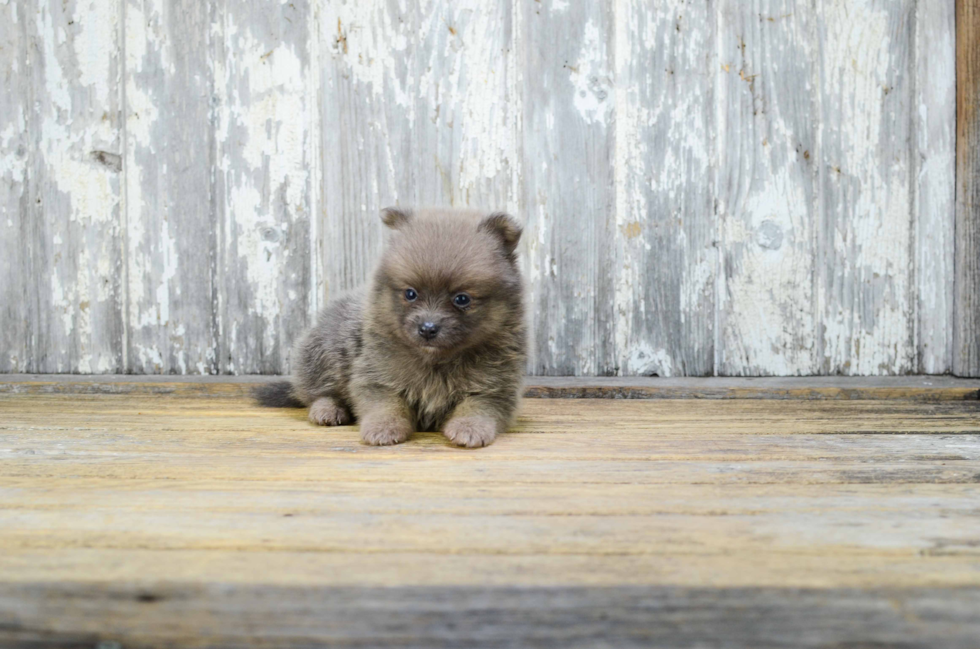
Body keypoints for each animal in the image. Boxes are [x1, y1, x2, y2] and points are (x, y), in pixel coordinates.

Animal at [255, 206, 528, 446]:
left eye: (462, 299)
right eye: (410, 294)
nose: (427, 328)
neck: (436, 362)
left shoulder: (496, 385)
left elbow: (478, 407)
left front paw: (469, 428)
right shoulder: (376, 376)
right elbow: (387, 405)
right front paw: (383, 428)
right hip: (327, 352)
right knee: (315, 391)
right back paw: (328, 410)